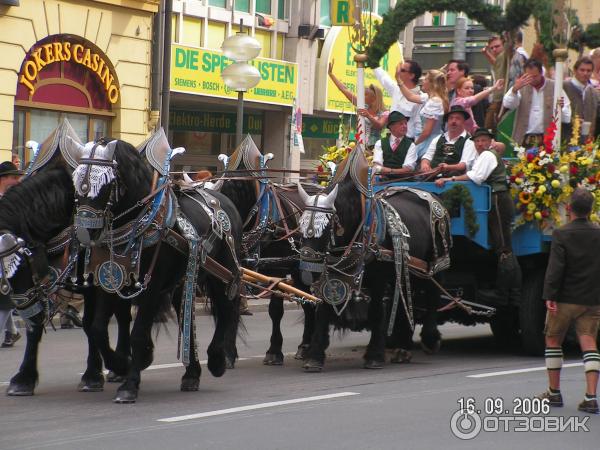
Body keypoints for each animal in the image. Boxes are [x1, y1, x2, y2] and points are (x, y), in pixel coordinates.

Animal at [0, 157, 131, 394]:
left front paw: (99, 372)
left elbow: (93, 326)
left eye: (21, 264)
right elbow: (35, 325)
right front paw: (24, 378)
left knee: (124, 317)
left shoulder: (100, 281)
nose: (15, 301)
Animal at [68, 139, 241, 402]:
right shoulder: (109, 277)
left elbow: (138, 333)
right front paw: (120, 364)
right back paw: (192, 373)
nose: (84, 233)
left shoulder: (152, 285)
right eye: (77, 182)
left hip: (223, 272)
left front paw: (129, 384)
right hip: (185, 280)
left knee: (228, 307)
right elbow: (97, 329)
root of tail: (222, 198)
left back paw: (217, 359)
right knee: (186, 317)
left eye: (104, 184)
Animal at [298, 149, 448, 370]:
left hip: (434, 266)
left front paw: (375, 355)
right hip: (406, 268)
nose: (308, 267)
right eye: (300, 224)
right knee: (406, 299)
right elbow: (323, 309)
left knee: (432, 295)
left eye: (325, 227)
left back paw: (429, 338)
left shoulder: (379, 279)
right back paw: (402, 347)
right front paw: (315, 355)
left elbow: (377, 311)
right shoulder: (330, 273)